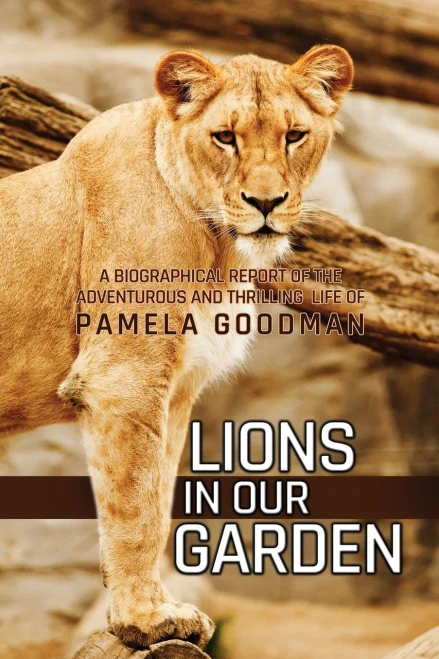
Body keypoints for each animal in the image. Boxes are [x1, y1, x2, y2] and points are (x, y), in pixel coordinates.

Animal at [0, 45, 353, 649]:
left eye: (294, 135)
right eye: (225, 137)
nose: (266, 203)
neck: (219, 250)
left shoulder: (176, 388)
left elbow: (160, 496)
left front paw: (147, 608)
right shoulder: (124, 376)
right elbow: (136, 506)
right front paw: (145, 619)